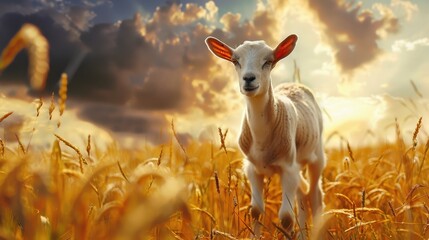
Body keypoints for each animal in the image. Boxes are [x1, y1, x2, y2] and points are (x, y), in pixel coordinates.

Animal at [204, 34, 324, 235]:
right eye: (236, 61)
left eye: (268, 61)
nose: (248, 78)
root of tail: (293, 84)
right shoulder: (253, 169)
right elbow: (256, 211)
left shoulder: (287, 168)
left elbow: (286, 217)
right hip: (297, 165)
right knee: (302, 195)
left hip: (316, 158)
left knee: (314, 197)